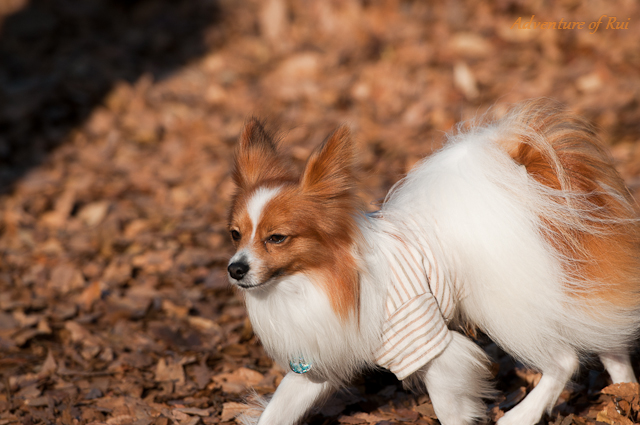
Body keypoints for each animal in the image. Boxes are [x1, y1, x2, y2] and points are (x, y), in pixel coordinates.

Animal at [226, 99, 640, 425]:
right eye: (234, 234)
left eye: (277, 238)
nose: (235, 269)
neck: (321, 278)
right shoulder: (316, 361)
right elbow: (277, 411)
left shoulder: (428, 343)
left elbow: (449, 409)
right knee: (609, 342)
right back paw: (626, 391)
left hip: (507, 308)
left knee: (565, 360)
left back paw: (522, 414)